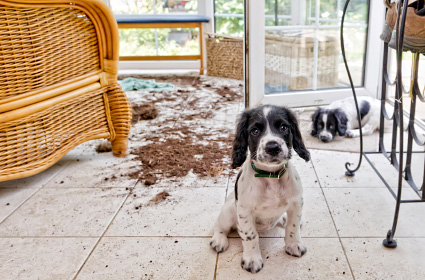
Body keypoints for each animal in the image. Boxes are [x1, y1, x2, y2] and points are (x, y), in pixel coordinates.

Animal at [210, 104, 310, 274]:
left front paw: (294, 245)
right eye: (255, 131)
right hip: (229, 211)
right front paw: (252, 260)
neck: (271, 177)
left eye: (284, 127)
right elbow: (250, 236)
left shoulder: (297, 203)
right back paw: (219, 240)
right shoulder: (245, 211)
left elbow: (293, 226)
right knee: (219, 225)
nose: (273, 147)